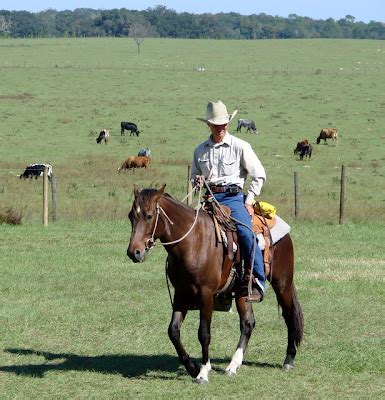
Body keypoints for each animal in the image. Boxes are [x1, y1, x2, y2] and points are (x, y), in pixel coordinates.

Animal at [126, 186, 304, 382]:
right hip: (243, 292)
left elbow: (204, 333)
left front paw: (203, 372)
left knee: (289, 315)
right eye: (131, 216)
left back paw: (288, 360)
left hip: (282, 283)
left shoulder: (206, 293)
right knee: (248, 323)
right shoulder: (181, 293)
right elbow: (173, 331)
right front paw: (192, 367)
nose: (134, 252)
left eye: (149, 216)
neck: (193, 242)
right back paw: (233, 365)